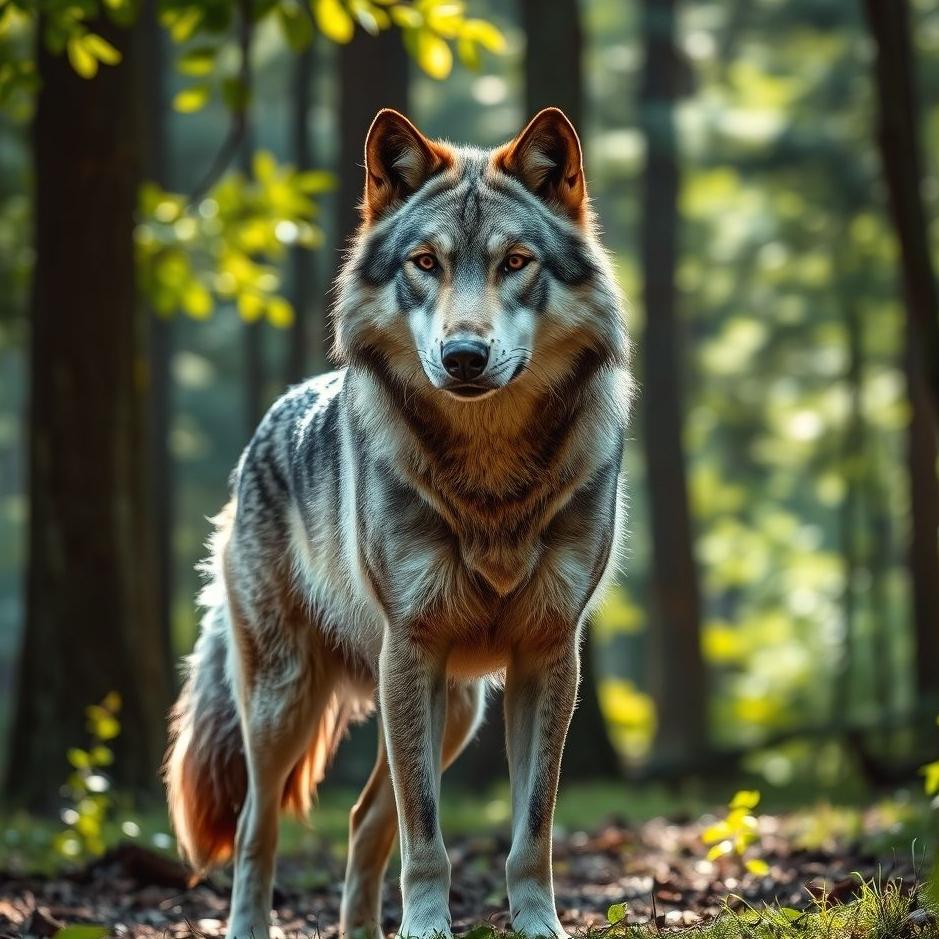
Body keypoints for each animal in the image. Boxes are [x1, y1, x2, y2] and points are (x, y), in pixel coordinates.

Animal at [165, 107, 632, 939]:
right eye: (424, 262)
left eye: (515, 262)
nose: (465, 354)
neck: (490, 478)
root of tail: (265, 427)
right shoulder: (412, 647)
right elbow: (427, 832)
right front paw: (426, 924)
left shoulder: (547, 656)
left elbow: (530, 828)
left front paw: (536, 923)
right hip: (289, 698)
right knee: (258, 825)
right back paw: (250, 924)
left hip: (451, 710)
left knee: (361, 820)